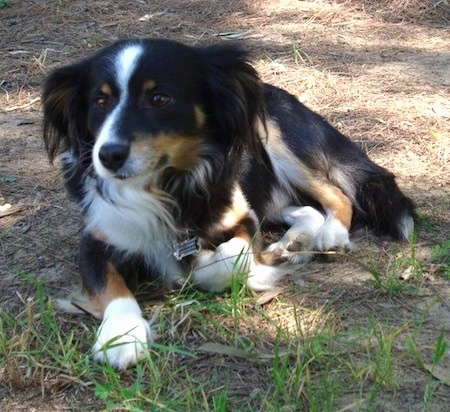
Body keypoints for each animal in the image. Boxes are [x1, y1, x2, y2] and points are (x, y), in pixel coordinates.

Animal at [42, 37, 414, 368]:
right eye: (99, 102)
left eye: (159, 98)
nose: (108, 156)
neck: (166, 188)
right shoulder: (96, 239)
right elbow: (111, 286)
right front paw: (122, 335)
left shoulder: (241, 217)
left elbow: (230, 258)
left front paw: (207, 266)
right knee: (303, 207)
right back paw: (294, 242)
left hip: (275, 137)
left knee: (335, 194)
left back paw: (329, 235)